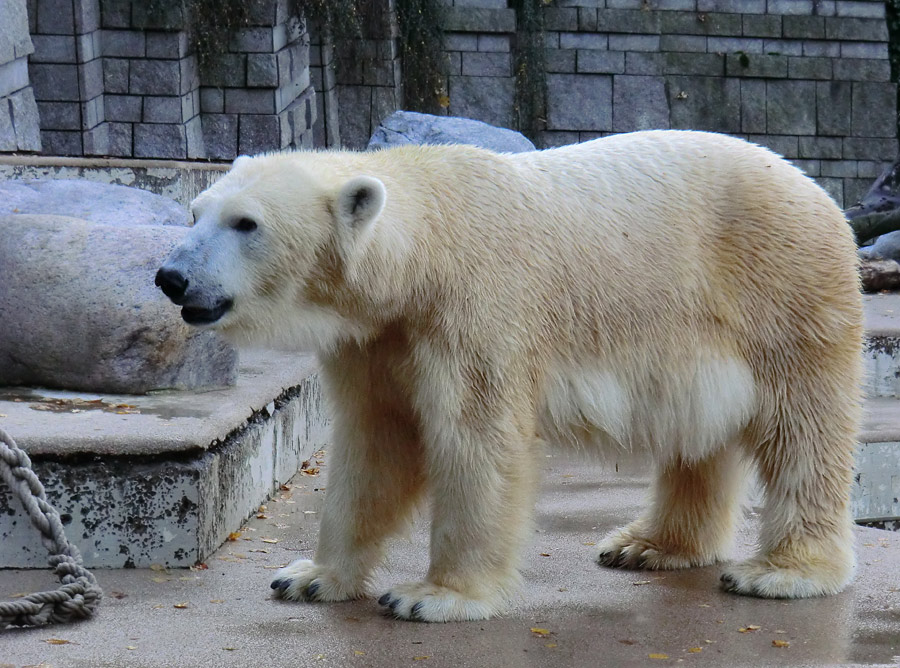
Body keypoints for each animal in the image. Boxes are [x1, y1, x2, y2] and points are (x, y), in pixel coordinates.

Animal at [156, 130, 864, 620]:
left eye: (246, 223)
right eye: (195, 212)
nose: (171, 277)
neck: (423, 251)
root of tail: (817, 190)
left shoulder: (475, 310)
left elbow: (476, 441)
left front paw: (432, 596)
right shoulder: (377, 339)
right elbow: (374, 443)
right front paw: (307, 577)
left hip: (782, 290)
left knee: (803, 429)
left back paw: (781, 572)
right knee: (701, 432)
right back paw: (647, 544)